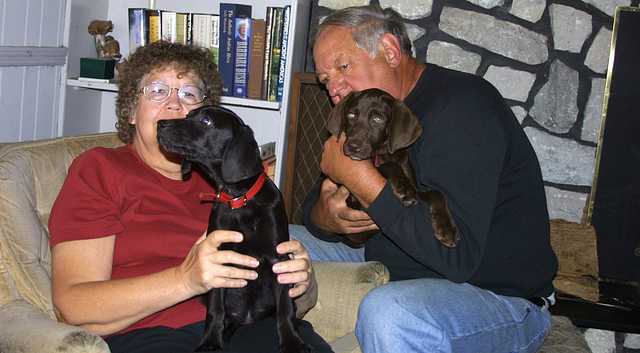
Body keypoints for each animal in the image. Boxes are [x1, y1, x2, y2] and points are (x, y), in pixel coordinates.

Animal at [156, 105, 308, 352]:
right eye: (188, 115)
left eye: (206, 121)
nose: (160, 123)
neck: (239, 200)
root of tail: (247, 318)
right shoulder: (217, 261)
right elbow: (215, 309)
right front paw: (210, 341)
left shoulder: (279, 259)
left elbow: (285, 307)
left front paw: (292, 342)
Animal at [328, 88, 458, 248]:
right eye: (351, 115)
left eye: (378, 119)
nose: (352, 147)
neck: (382, 154)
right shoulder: (354, 201)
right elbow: (389, 165)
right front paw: (404, 189)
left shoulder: (418, 189)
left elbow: (437, 193)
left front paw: (447, 229)